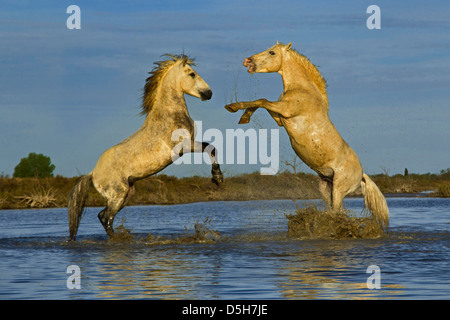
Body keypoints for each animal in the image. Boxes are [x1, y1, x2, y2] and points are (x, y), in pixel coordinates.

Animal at [68, 54, 223, 240]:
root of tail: (92, 174)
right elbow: (210, 147)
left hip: (128, 193)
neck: (169, 115)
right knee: (106, 218)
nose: (209, 93)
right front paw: (218, 178)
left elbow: (211, 148)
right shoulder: (185, 147)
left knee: (102, 215)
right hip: (118, 194)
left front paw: (218, 178)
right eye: (192, 74)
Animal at [227, 42, 388, 232]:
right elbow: (262, 102)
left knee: (336, 212)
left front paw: (233, 107)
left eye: (272, 52)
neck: (302, 89)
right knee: (336, 211)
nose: (248, 61)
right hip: (326, 188)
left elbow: (262, 100)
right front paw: (244, 115)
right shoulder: (280, 118)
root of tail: (362, 174)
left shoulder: (286, 110)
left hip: (339, 189)